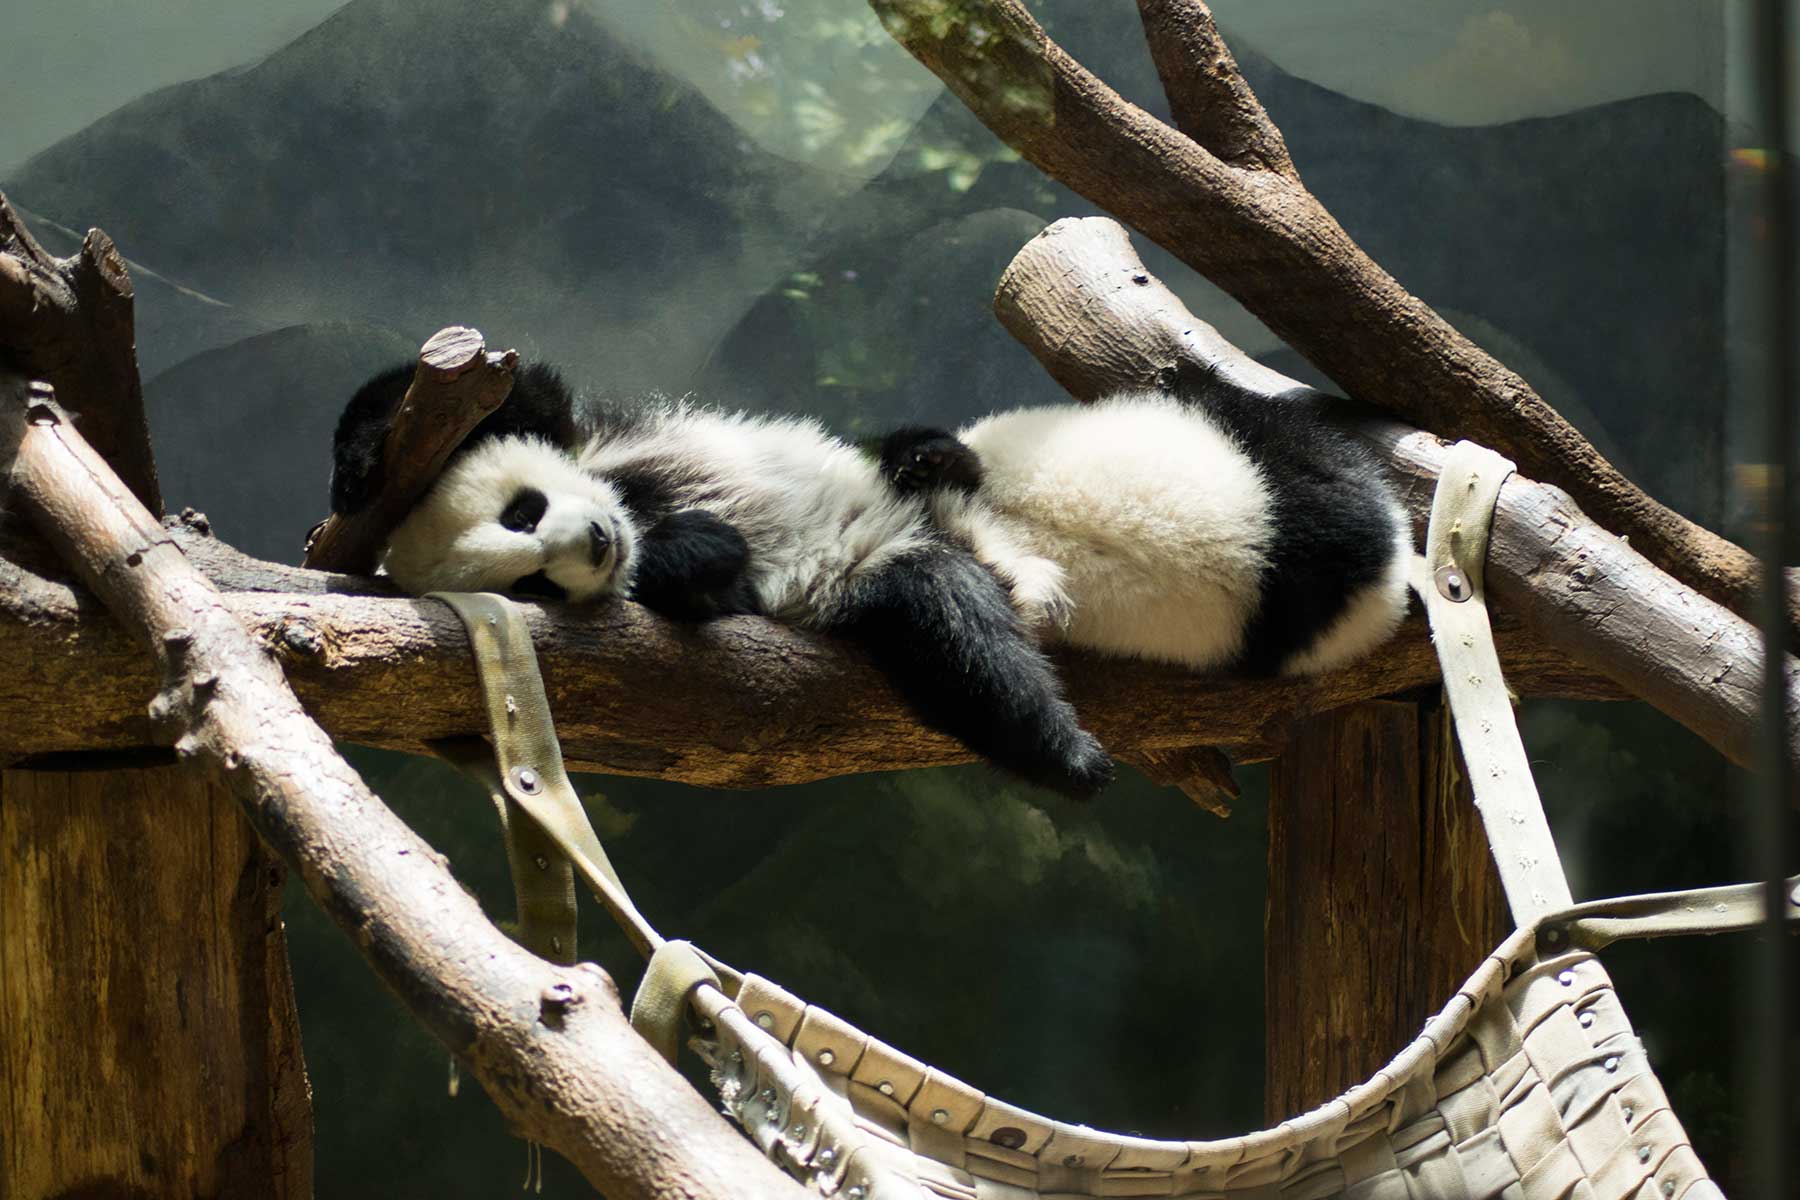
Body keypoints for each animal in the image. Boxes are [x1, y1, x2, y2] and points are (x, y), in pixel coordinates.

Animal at [331, 362, 1115, 800]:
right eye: (537, 586)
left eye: (523, 513)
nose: (597, 543)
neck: (633, 507)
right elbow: (710, 582)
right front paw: (698, 543)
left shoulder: (588, 435)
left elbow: (511, 397)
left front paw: (362, 464)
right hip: (873, 579)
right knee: (959, 634)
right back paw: (1068, 756)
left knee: (922, 476)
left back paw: (928, 459)